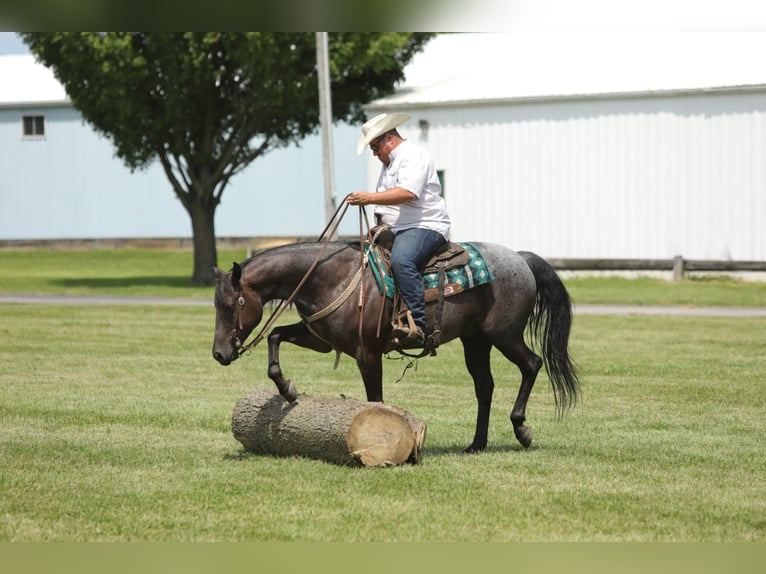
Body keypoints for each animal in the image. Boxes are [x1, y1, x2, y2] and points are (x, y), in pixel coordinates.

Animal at [213, 241, 580, 452]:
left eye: (233, 304)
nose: (219, 353)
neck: (332, 277)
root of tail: (520, 258)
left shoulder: (367, 353)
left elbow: (375, 397)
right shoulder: (322, 340)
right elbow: (275, 336)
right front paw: (287, 389)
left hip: (504, 335)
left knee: (532, 364)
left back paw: (521, 429)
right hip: (475, 340)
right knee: (484, 386)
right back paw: (477, 444)